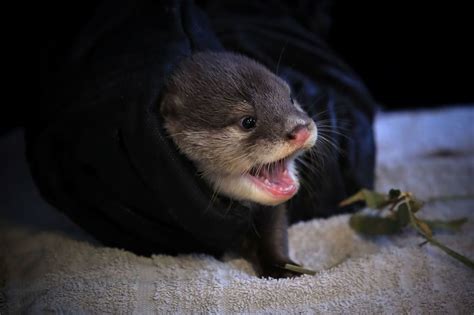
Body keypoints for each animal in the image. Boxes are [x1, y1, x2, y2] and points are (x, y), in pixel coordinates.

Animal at [160, 52, 318, 278]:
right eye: (248, 121)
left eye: (290, 98)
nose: (301, 130)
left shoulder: (271, 213)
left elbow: (275, 234)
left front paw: (285, 267)